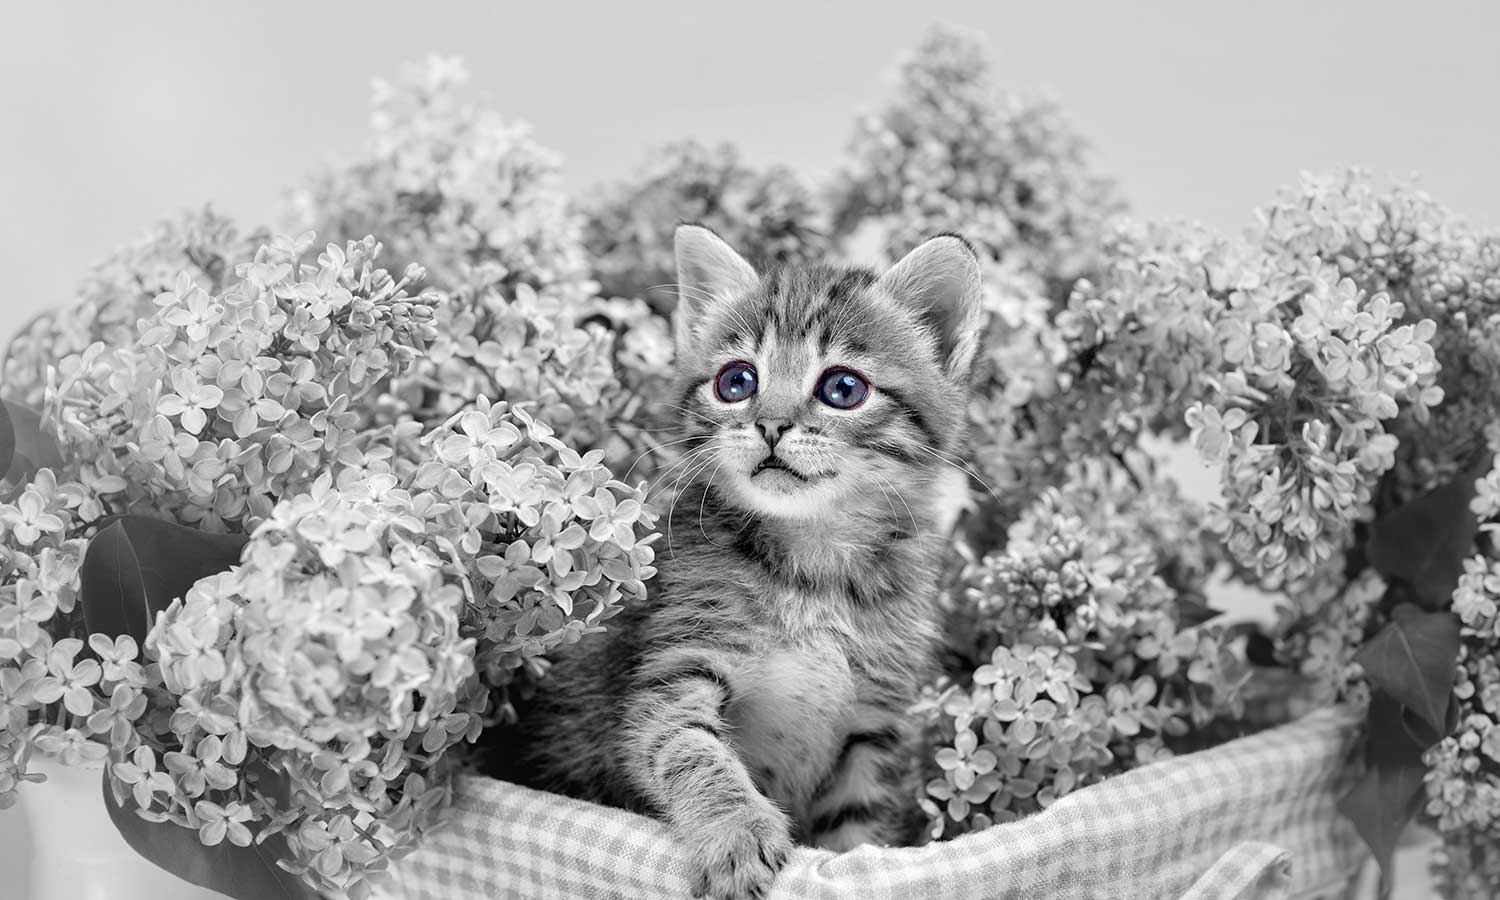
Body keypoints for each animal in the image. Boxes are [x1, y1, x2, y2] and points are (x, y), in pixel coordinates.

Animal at [504, 225, 984, 900]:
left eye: (842, 389)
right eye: (737, 382)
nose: (771, 425)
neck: (814, 568)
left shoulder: (872, 721)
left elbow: (856, 830)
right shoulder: (676, 665)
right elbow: (685, 746)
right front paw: (736, 832)